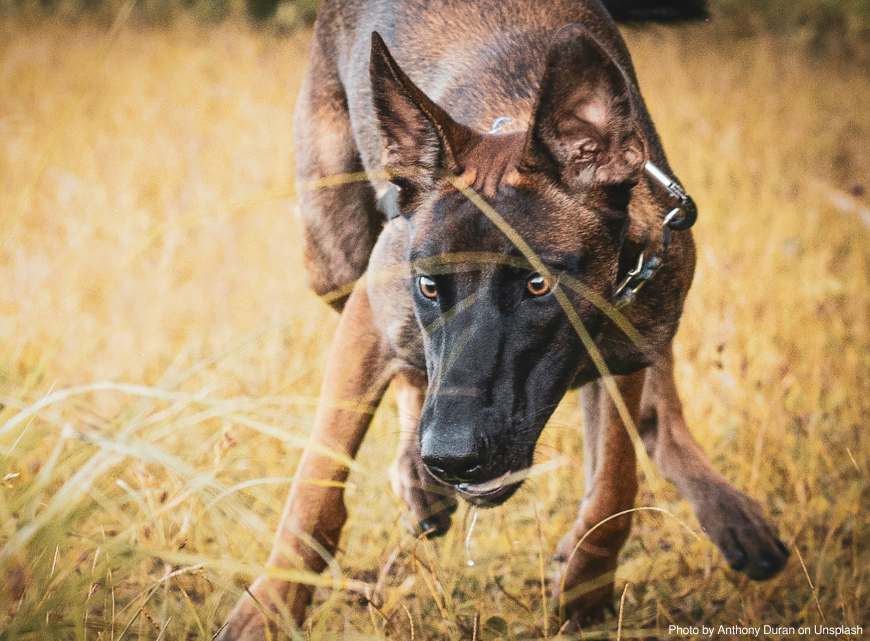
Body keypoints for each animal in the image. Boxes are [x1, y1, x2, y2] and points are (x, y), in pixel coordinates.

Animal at [218, 0, 792, 636]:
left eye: (538, 285)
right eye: (429, 286)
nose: (450, 458)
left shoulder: (625, 346)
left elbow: (615, 483)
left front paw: (586, 585)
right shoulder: (373, 313)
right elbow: (316, 488)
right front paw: (271, 606)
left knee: (658, 411)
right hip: (333, 259)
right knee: (406, 371)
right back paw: (416, 477)